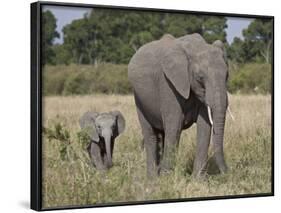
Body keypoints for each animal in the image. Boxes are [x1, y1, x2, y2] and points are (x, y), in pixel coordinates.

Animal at [128, 32, 229, 176]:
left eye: (227, 76)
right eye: (200, 78)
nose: (227, 172)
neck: (195, 47)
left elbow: (204, 127)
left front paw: (197, 179)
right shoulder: (168, 84)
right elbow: (174, 125)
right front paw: (167, 178)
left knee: (161, 134)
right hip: (139, 98)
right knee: (150, 135)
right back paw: (152, 177)